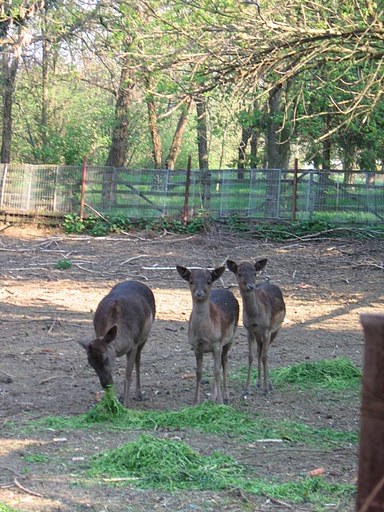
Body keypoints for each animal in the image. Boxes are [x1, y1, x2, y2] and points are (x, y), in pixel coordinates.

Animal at [79, 280, 155, 408]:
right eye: (90, 363)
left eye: (106, 359)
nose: (105, 384)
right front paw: (111, 401)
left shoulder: (134, 344)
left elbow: (128, 373)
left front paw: (126, 404)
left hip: (144, 336)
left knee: (138, 360)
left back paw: (138, 393)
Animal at [177, 266, 240, 406]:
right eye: (191, 281)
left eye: (209, 281)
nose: (199, 293)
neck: (204, 333)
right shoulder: (196, 346)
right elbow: (199, 372)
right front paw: (195, 402)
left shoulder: (217, 344)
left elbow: (216, 372)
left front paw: (220, 403)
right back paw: (212, 397)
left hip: (230, 338)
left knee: (224, 363)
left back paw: (226, 396)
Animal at [228, 260, 284, 396]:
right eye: (239, 273)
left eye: (254, 272)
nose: (251, 286)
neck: (255, 318)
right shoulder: (249, 330)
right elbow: (250, 356)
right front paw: (246, 389)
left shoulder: (267, 330)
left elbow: (265, 356)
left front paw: (266, 389)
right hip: (258, 335)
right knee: (259, 351)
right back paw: (258, 382)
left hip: (277, 328)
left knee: (265, 351)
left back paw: (268, 384)